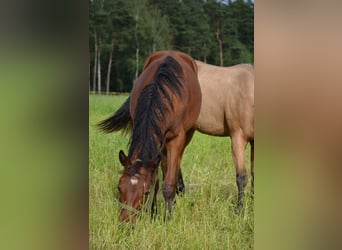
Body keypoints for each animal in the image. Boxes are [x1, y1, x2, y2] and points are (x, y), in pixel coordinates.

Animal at [97, 49, 202, 222]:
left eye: (145, 191)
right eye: (119, 187)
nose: (126, 221)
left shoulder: (176, 138)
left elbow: (168, 183)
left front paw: (167, 217)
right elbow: (157, 178)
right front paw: (153, 213)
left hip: (187, 134)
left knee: (176, 161)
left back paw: (179, 189)